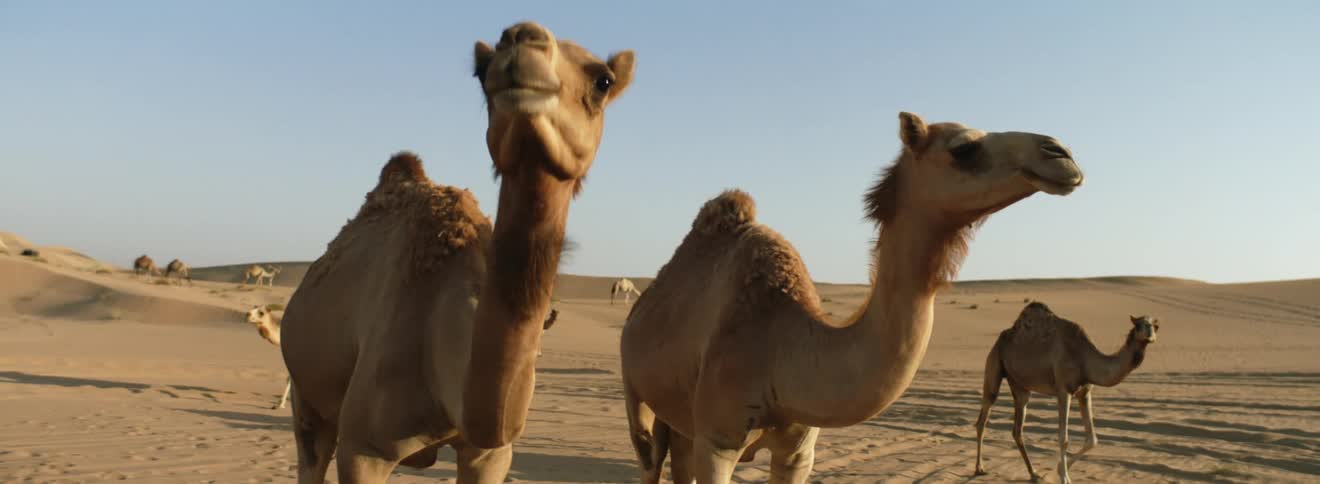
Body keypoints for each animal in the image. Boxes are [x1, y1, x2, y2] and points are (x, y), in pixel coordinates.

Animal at [279, 21, 635, 483]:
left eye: (602, 81)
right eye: (481, 71)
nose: (522, 38)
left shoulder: (491, 454)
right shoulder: (363, 450)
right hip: (306, 395)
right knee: (311, 450)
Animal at [619, 112, 1085, 484]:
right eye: (964, 148)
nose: (1061, 154)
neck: (780, 347)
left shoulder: (799, 451)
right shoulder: (718, 441)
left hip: (681, 417)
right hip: (635, 390)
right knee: (649, 458)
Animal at [973, 303, 1159, 483]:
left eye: (1156, 326)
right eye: (1138, 325)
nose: (1150, 335)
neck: (1084, 359)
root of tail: (1001, 339)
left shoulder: (1085, 392)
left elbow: (1092, 439)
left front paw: (1061, 469)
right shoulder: (1063, 391)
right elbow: (1064, 438)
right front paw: (1063, 477)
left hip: (1020, 386)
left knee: (1017, 429)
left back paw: (1033, 473)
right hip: (994, 363)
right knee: (983, 417)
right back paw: (979, 468)